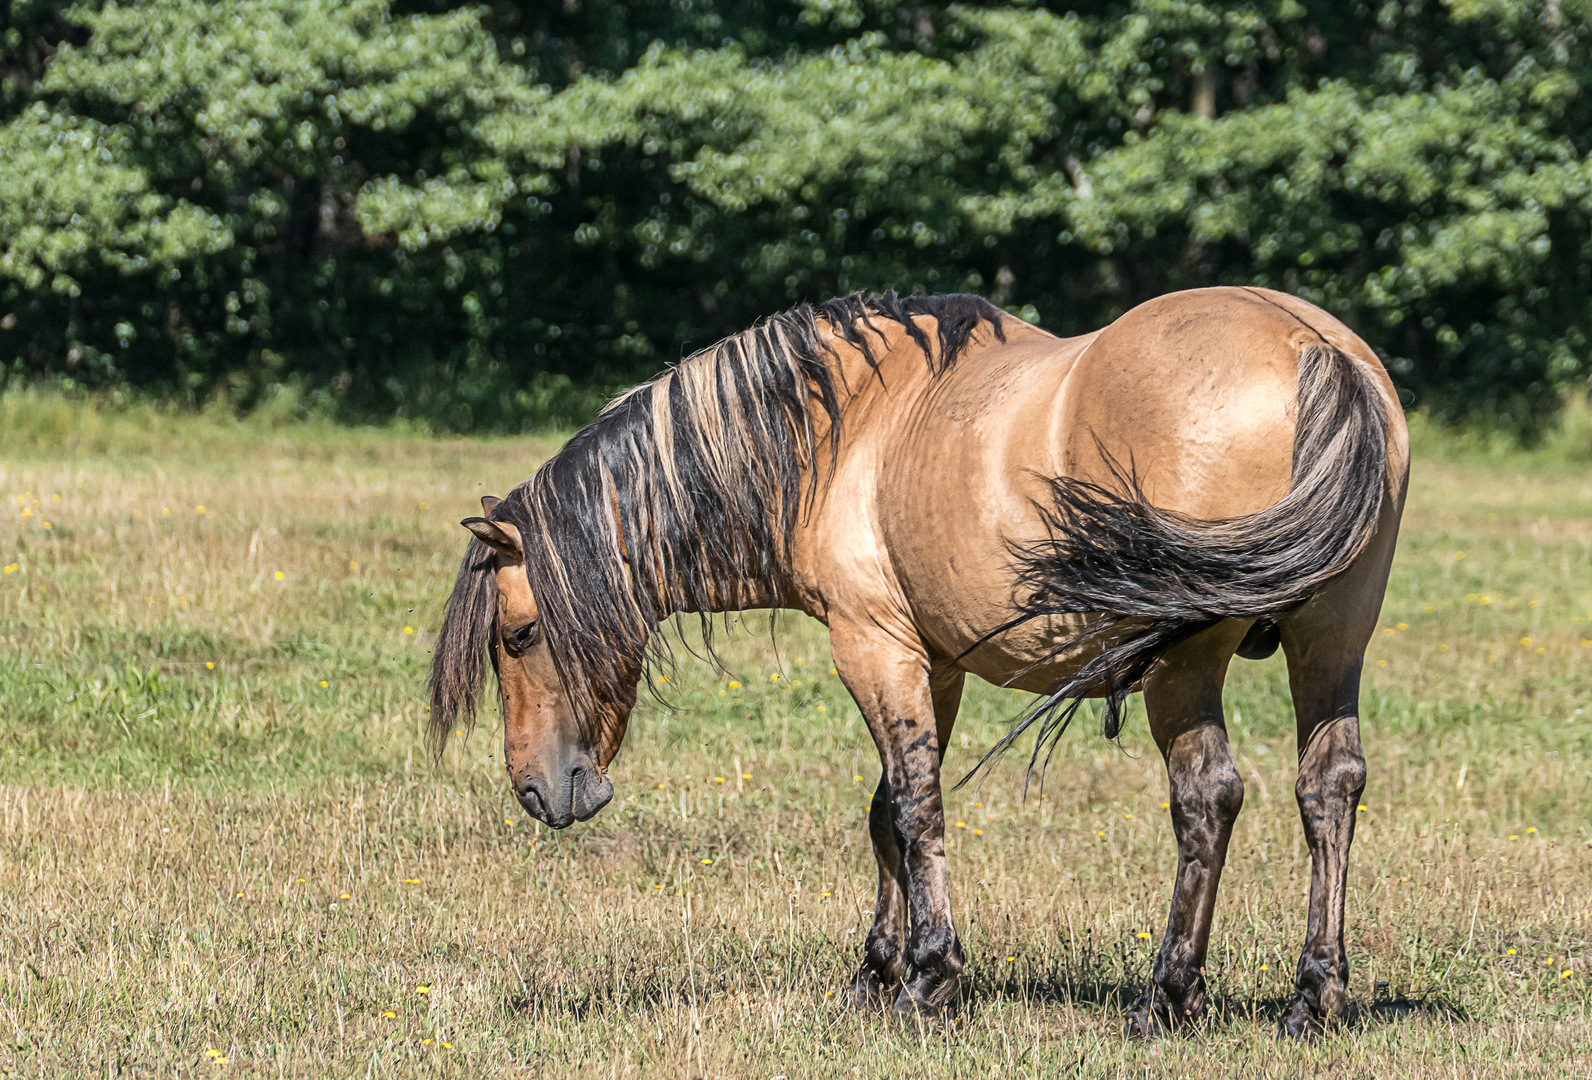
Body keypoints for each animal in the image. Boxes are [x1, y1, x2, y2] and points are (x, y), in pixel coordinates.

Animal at [423, 288, 1407, 1038]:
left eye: (518, 636)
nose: (540, 792)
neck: (840, 430)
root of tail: (1313, 348)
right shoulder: (935, 664)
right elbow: (886, 815)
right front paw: (876, 972)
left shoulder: (872, 646)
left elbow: (914, 806)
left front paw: (928, 980)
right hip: (1332, 643)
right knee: (1328, 788)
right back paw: (1313, 996)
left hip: (1184, 666)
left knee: (1207, 797)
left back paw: (1165, 998)